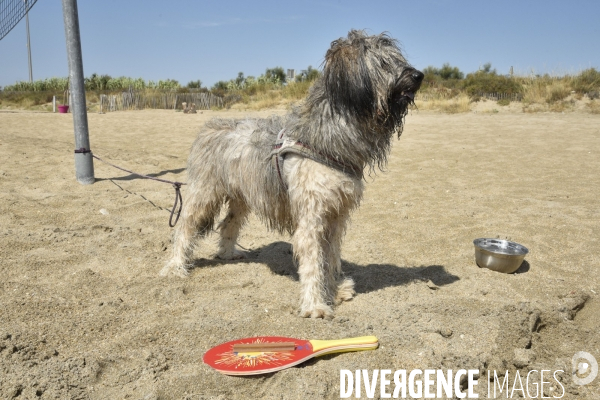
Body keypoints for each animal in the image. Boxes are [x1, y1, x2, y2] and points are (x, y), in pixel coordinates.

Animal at [162, 29, 424, 318]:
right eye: (384, 62)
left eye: (398, 58)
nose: (419, 75)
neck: (327, 138)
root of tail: (209, 126)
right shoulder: (312, 216)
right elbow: (313, 261)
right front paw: (316, 304)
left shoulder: (336, 214)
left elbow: (330, 257)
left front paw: (334, 290)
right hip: (204, 193)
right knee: (185, 227)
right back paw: (175, 266)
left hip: (242, 197)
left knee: (228, 224)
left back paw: (228, 253)